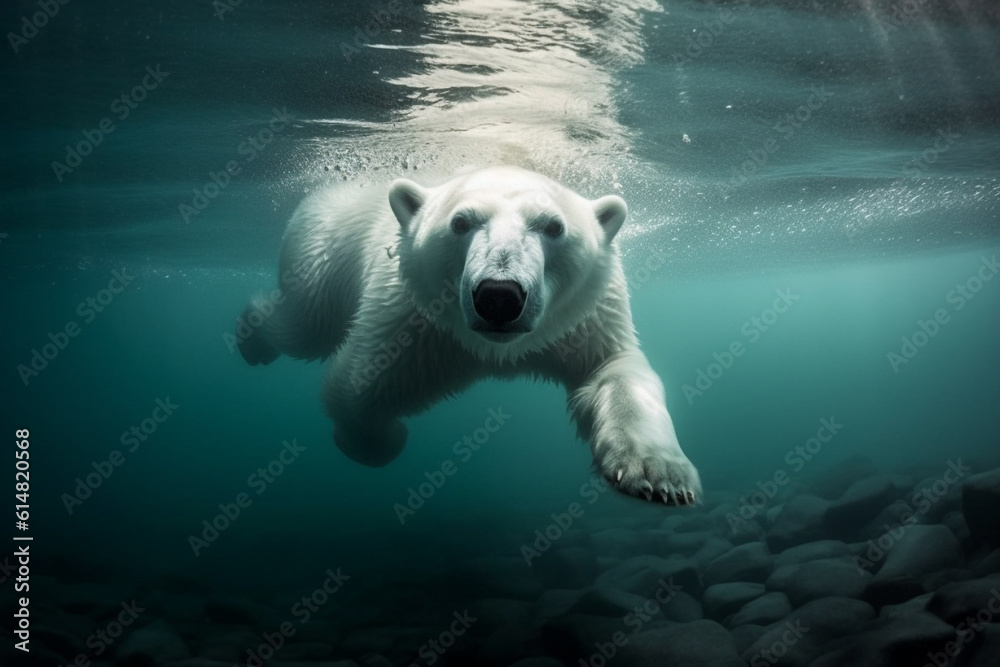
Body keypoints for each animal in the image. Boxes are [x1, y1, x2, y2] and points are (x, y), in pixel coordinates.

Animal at [237, 166, 701, 505]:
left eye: (553, 227)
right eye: (460, 221)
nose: (499, 296)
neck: (499, 349)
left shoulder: (582, 321)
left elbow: (614, 370)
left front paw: (658, 474)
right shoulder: (415, 324)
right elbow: (356, 385)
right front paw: (384, 438)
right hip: (325, 252)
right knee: (305, 326)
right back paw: (250, 336)